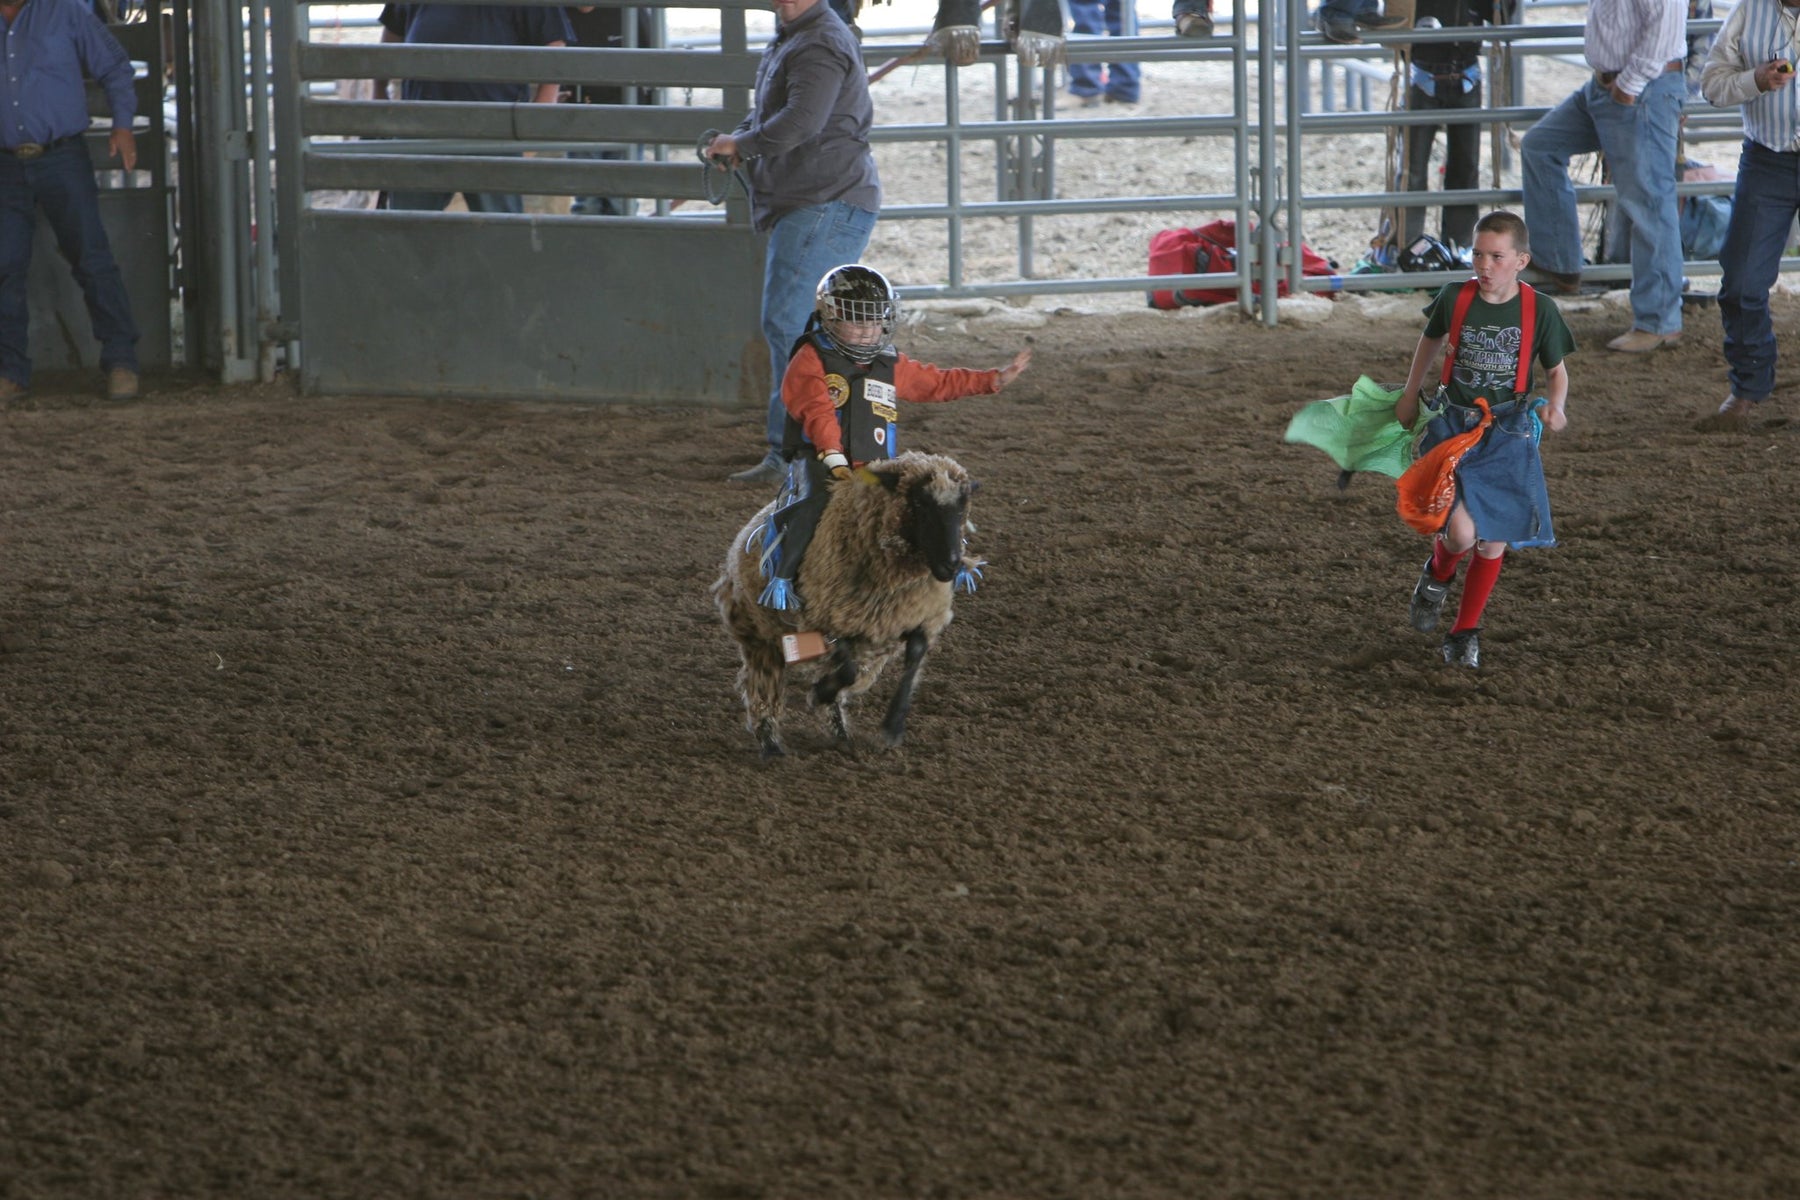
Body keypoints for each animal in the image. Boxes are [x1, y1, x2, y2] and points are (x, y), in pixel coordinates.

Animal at [709, 453, 979, 759]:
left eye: (962, 506)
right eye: (920, 503)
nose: (952, 564)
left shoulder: (917, 617)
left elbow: (913, 661)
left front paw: (893, 726)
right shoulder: (826, 619)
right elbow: (846, 671)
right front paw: (819, 692)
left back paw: (841, 734)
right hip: (759, 634)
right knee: (763, 685)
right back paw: (770, 744)